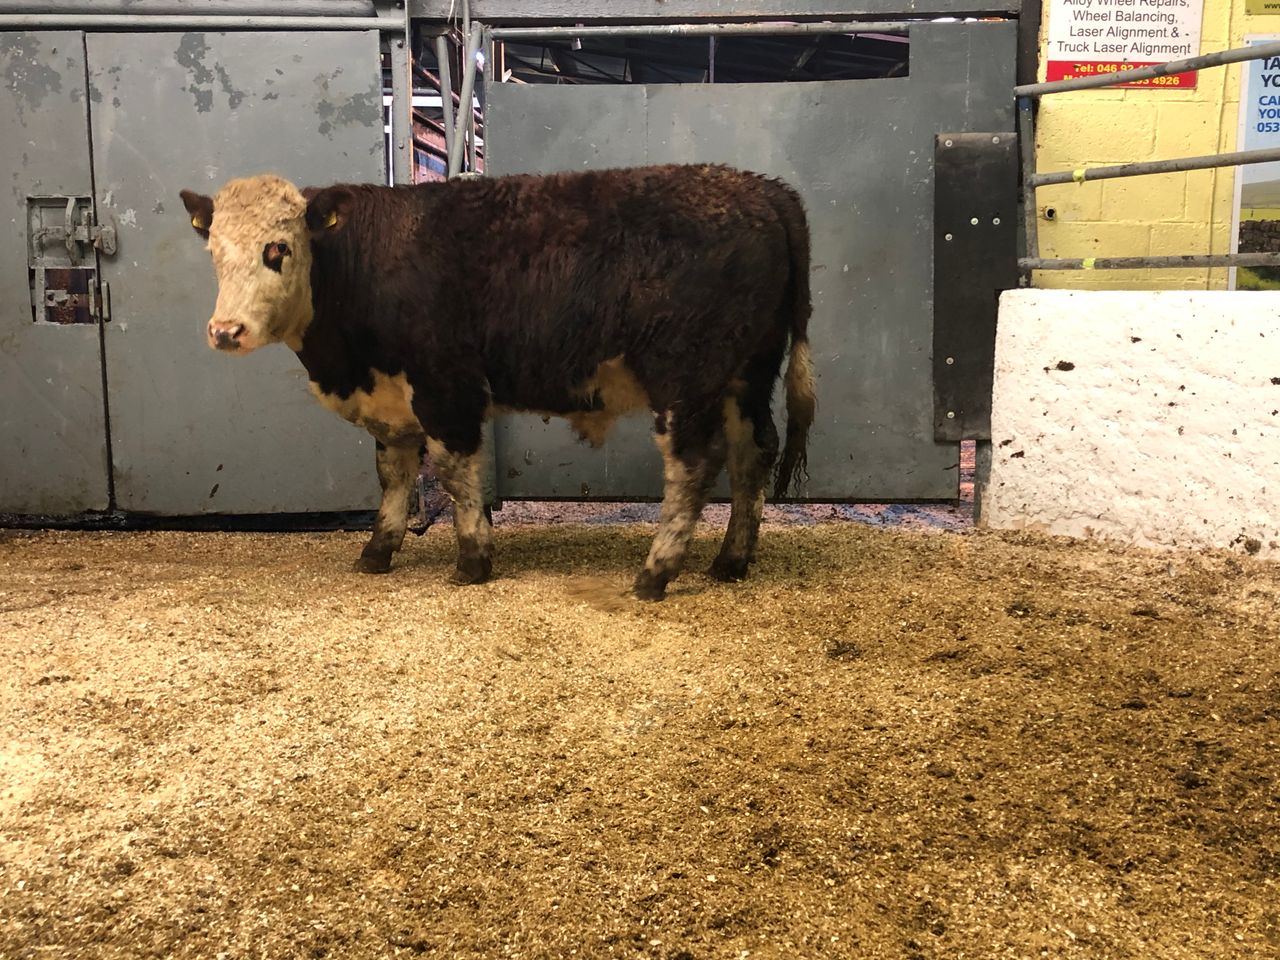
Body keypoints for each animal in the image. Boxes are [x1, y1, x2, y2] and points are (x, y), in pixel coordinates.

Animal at [179, 164, 814, 600]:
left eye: (278, 249)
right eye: (214, 253)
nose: (226, 331)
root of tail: (763, 188)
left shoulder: (447, 385)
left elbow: (456, 473)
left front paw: (472, 560)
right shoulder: (392, 400)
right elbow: (393, 473)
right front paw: (378, 550)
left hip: (687, 378)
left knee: (692, 467)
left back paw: (655, 573)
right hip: (747, 376)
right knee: (753, 455)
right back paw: (730, 562)